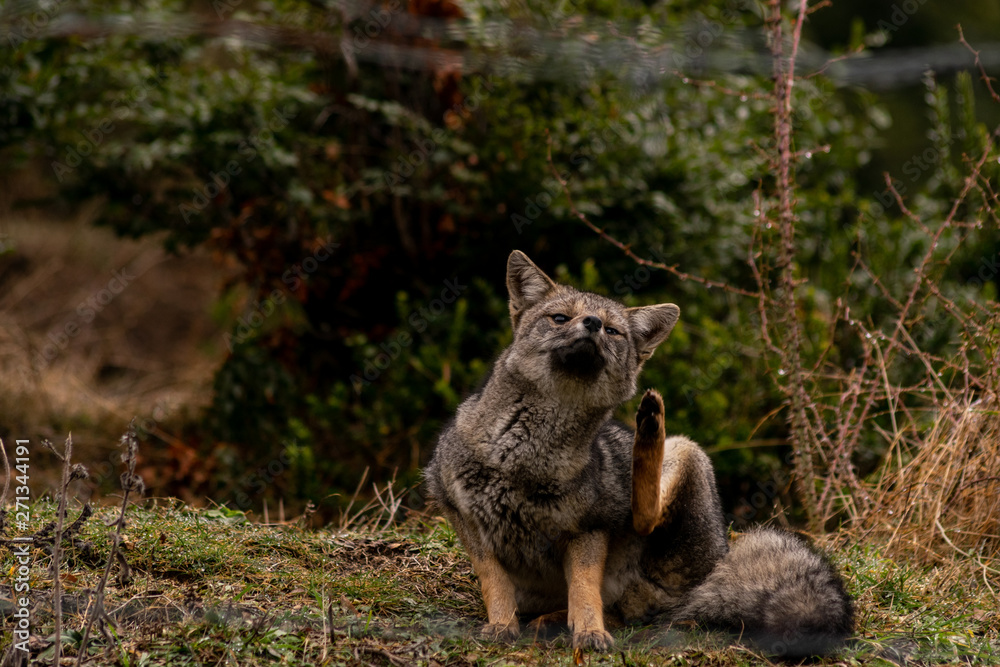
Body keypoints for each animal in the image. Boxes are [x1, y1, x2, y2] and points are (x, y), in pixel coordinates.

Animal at [424, 250, 853, 656]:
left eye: (613, 330)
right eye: (560, 318)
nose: (592, 324)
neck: (523, 457)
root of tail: (714, 567)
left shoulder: (590, 527)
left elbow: (584, 590)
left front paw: (590, 632)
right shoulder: (461, 513)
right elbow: (494, 582)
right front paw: (501, 625)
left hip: (686, 453)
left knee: (643, 520)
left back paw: (649, 427)